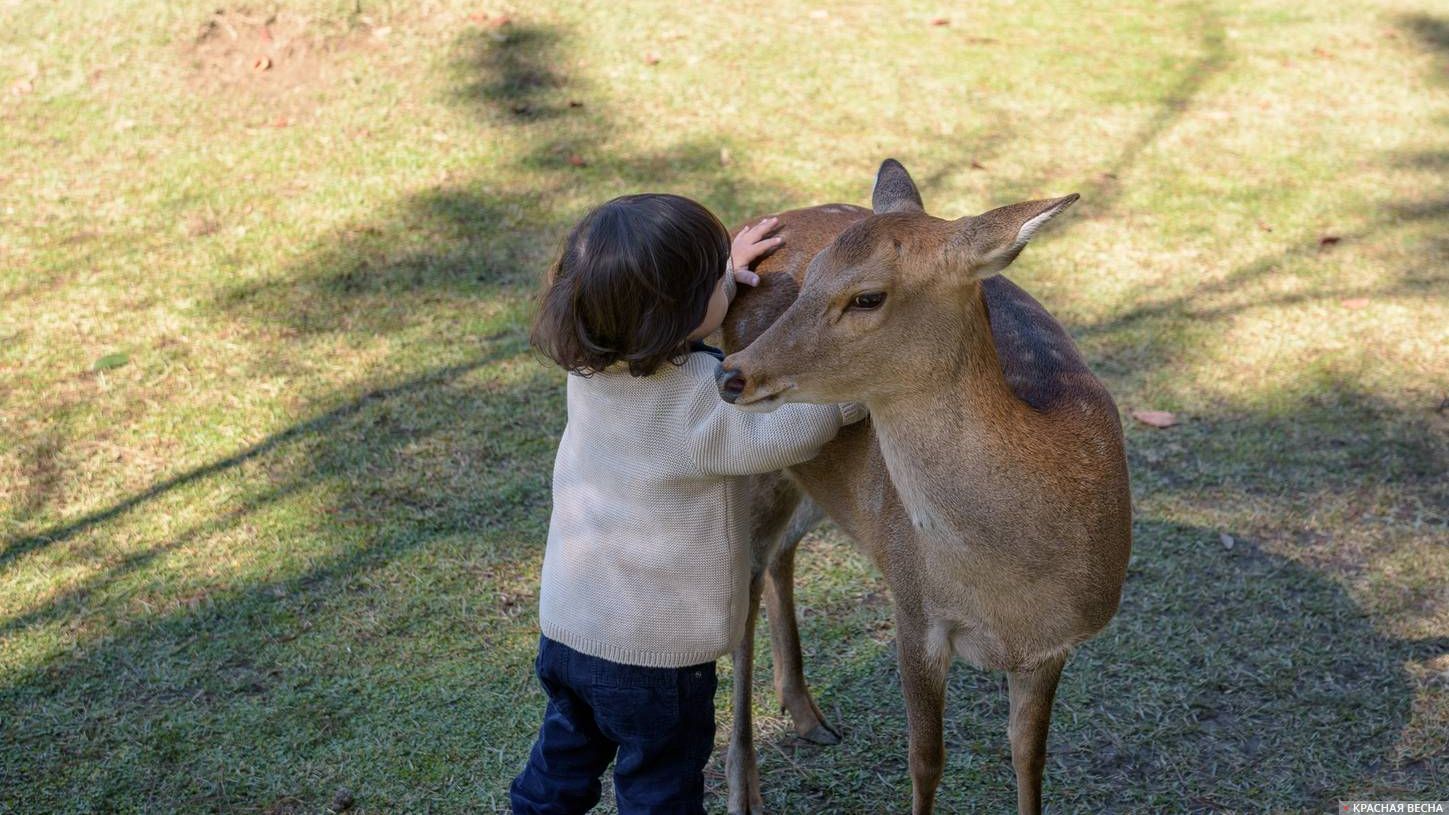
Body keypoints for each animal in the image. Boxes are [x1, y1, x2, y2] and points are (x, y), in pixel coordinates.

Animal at [712, 160, 1130, 812]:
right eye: (811, 277)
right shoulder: (912, 606)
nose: (732, 374)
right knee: (746, 591)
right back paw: (745, 789)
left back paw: (807, 715)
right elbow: (926, 759)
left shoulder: (1054, 646)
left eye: (867, 297)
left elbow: (1029, 757)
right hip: (747, 471)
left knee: (783, 553)